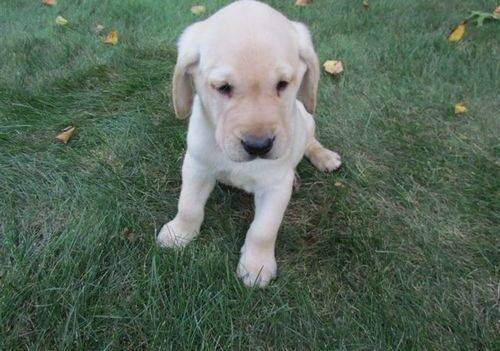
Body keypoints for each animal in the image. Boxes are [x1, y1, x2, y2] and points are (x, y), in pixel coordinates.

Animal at [158, 0, 342, 288]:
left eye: (283, 84)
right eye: (223, 87)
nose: (259, 145)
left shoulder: (275, 187)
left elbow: (263, 230)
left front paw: (257, 265)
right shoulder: (196, 166)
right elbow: (188, 206)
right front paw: (179, 233)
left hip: (306, 116)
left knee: (310, 142)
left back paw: (322, 157)